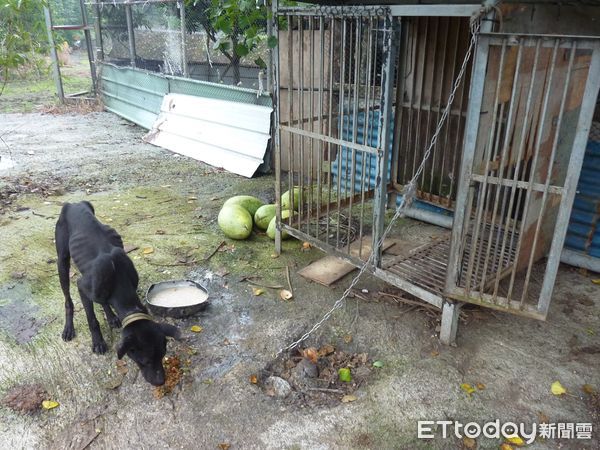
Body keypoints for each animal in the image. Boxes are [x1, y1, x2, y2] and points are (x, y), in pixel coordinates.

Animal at [55, 202, 179, 384]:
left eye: (163, 354)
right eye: (144, 361)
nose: (161, 381)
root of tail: (74, 203)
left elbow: (103, 301)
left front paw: (111, 316)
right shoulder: (82, 287)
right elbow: (92, 319)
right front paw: (98, 342)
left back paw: (111, 316)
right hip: (62, 260)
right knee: (67, 299)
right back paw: (69, 328)